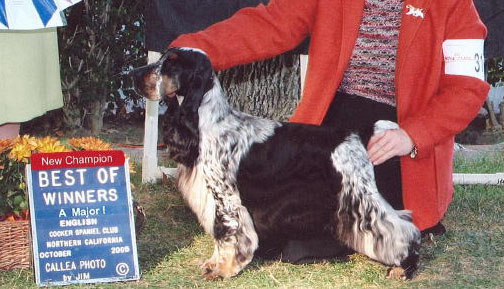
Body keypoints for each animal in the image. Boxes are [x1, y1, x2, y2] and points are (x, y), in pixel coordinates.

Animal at [132, 47, 420, 280]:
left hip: (359, 196)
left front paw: (223, 269)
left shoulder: (226, 198)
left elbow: (227, 233)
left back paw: (403, 267)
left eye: (171, 64)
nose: (134, 73)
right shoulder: (212, 197)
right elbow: (218, 233)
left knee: (402, 228)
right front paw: (214, 264)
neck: (206, 123)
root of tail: (357, 133)